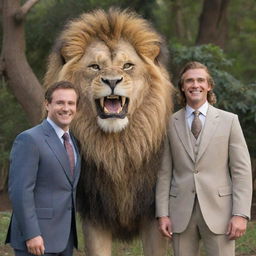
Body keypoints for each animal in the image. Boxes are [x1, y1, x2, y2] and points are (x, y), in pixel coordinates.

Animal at [44, 8, 173, 256]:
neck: (118, 148)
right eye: (95, 67)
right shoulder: (95, 215)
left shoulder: (154, 215)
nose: (112, 81)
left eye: (127, 66)